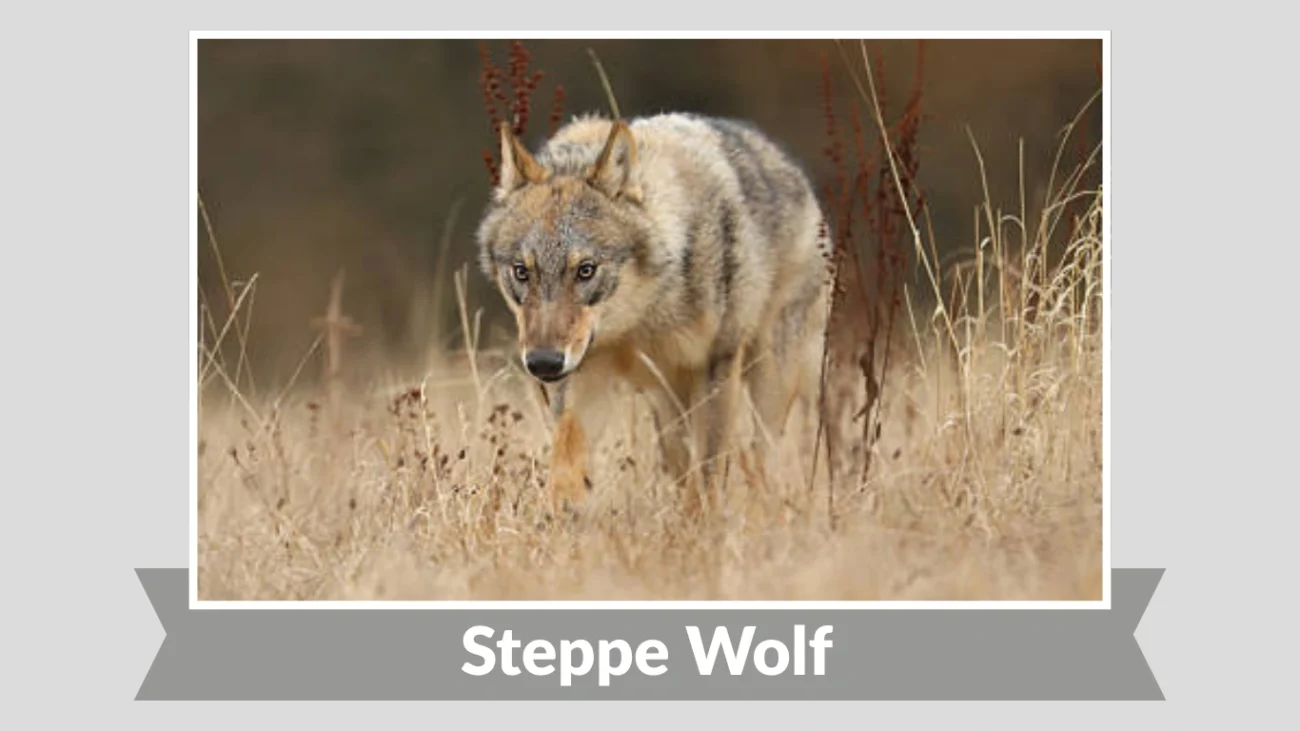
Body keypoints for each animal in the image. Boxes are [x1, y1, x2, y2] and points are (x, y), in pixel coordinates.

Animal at [475, 112, 830, 515]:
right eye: (522, 271)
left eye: (586, 270)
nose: (543, 363)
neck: (639, 321)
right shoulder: (585, 375)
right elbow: (565, 458)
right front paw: (558, 511)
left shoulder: (718, 363)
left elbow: (708, 472)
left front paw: (701, 525)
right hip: (667, 406)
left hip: (769, 380)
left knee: (761, 457)